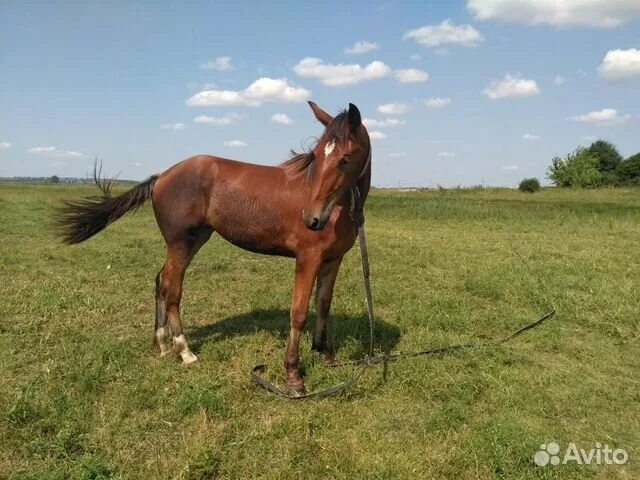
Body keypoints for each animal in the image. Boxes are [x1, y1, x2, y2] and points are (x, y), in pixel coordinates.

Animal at [58, 100, 376, 394]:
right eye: (315, 156)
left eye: (345, 159)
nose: (312, 219)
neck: (339, 210)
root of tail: (161, 177)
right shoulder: (307, 259)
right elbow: (298, 313)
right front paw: (293, 375)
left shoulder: (332, 259)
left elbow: (323, 304)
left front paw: (327, 356)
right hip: (181, 243)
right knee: (172, 288)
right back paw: (185, 351)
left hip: (195, 240)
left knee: (160, 281)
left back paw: (162, 345)